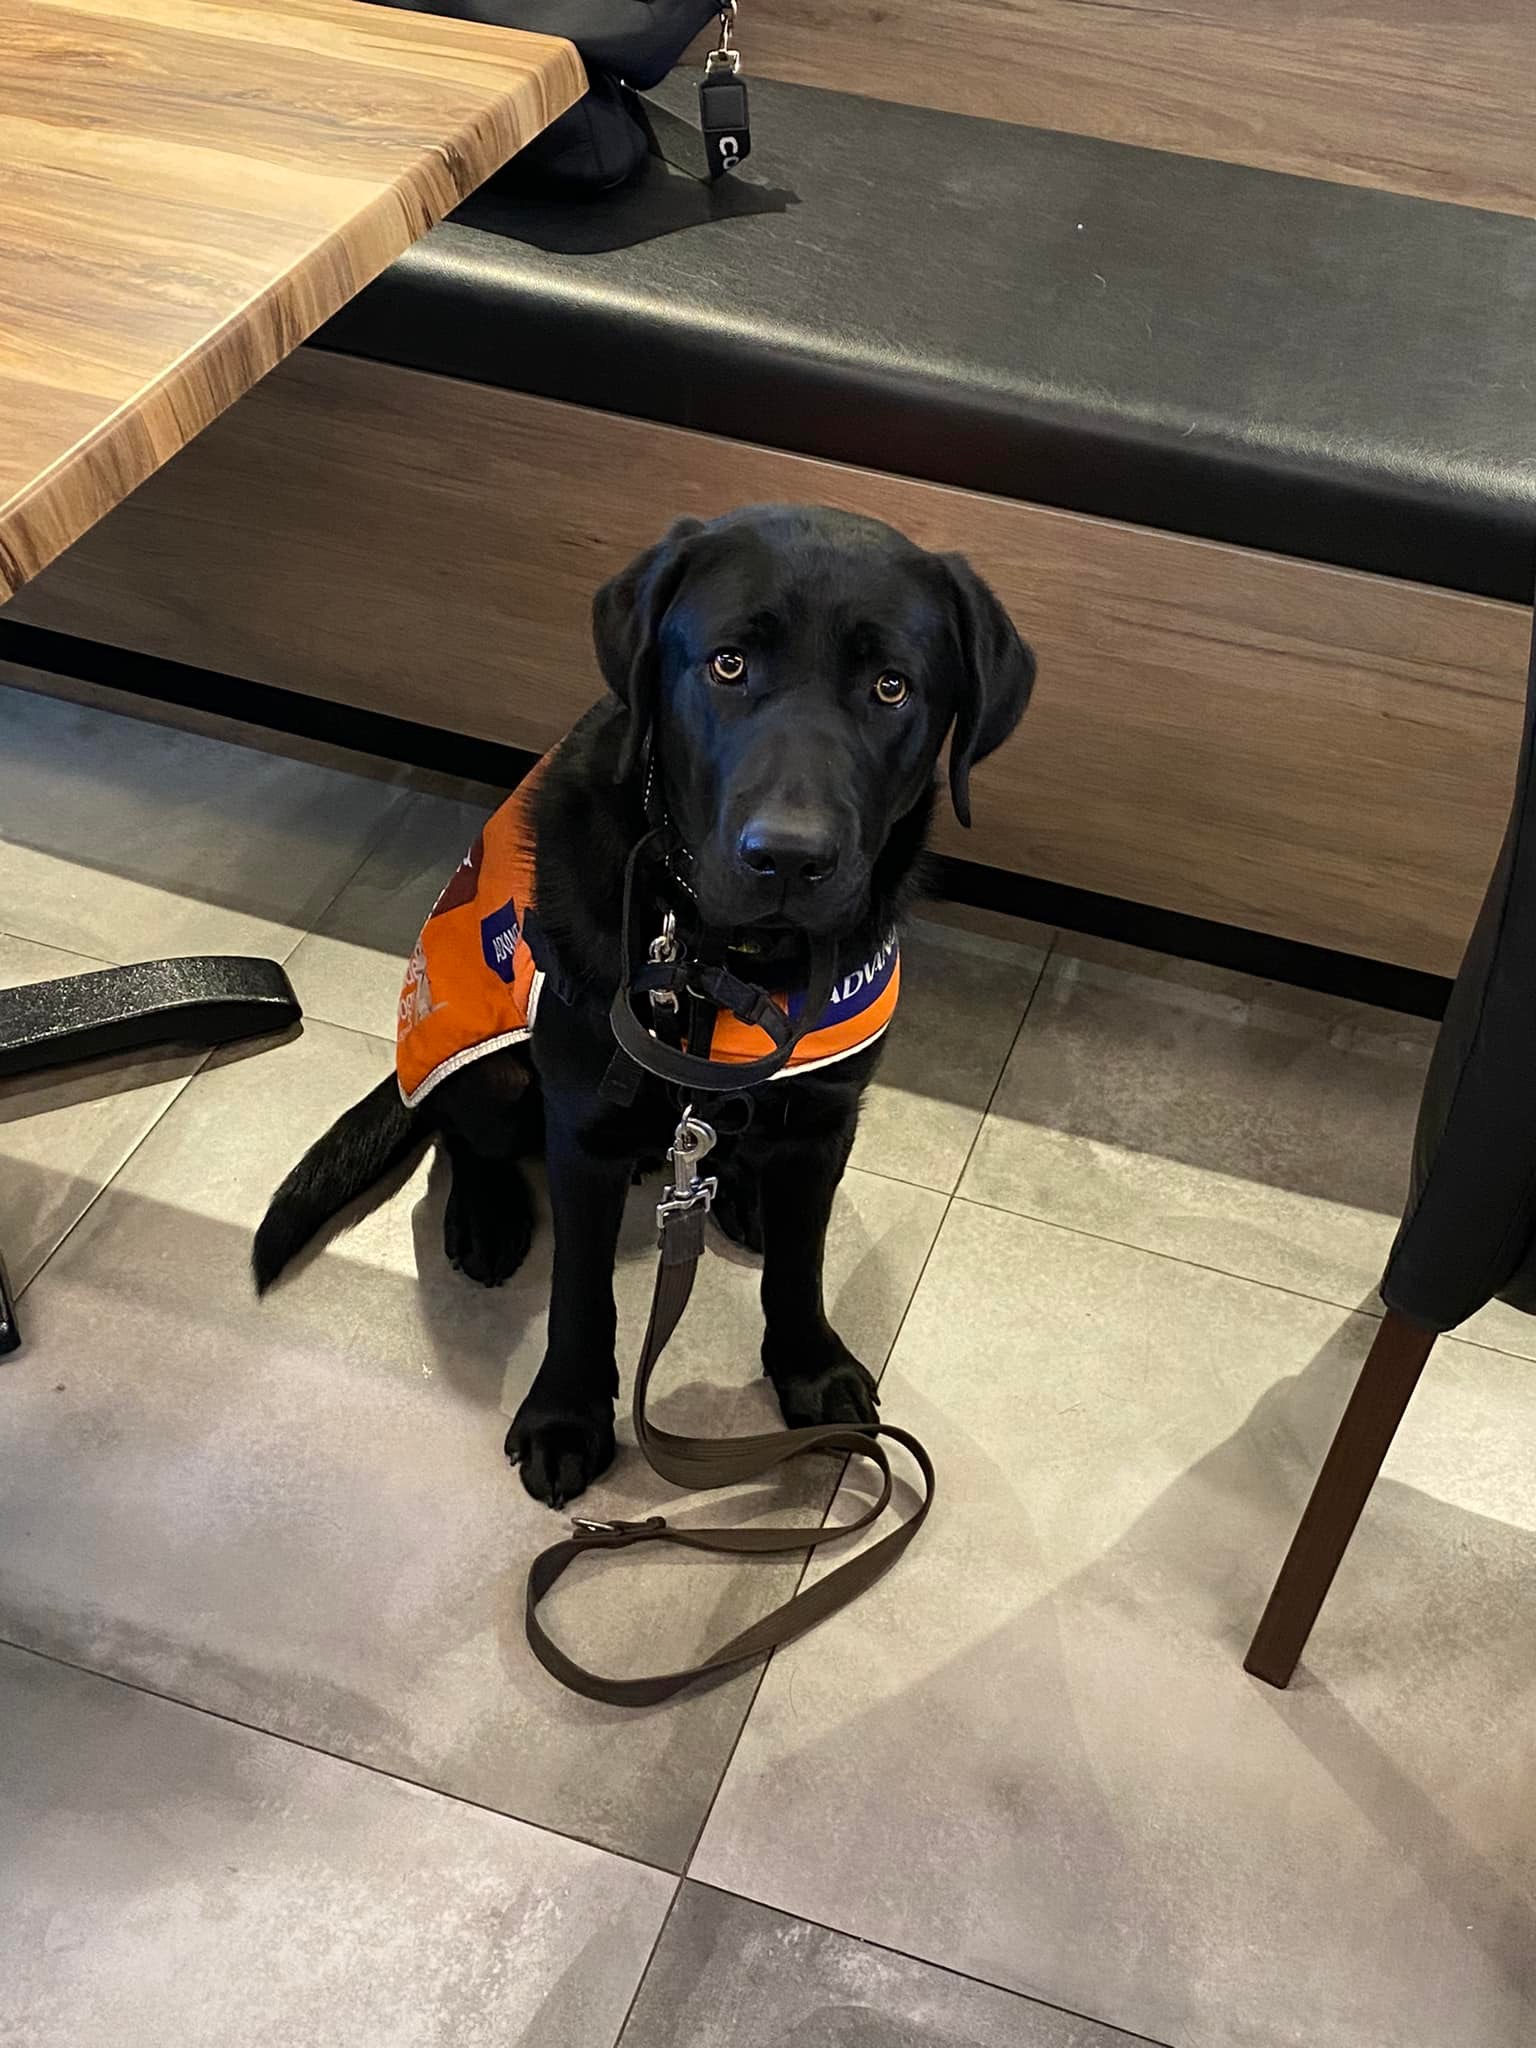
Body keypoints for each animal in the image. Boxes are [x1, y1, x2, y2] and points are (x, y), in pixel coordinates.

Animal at [256, 507, 1036, 1507]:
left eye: (891, 688)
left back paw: (742, 1192)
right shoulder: (584, 1125)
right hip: (484, 1060)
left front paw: (811, 1366)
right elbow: (581, 1293)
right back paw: (487, 1216)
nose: (788, 858)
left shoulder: (828, 1115)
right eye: (729, 664)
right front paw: (567, 1416)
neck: (725, 960)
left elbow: (803, 1262)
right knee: (461, 1134)